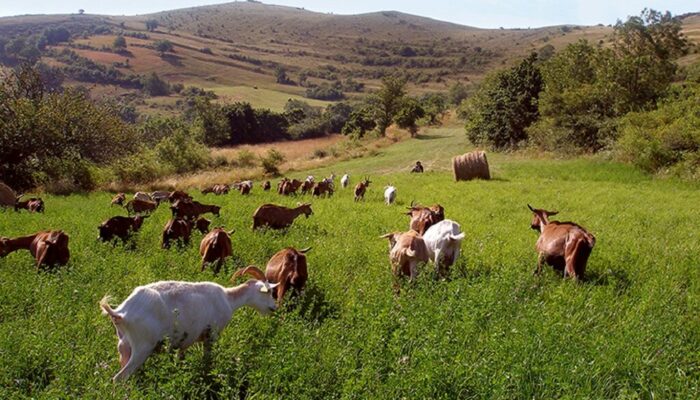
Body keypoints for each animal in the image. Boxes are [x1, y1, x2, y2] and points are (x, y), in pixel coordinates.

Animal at [99, 268, 278, 382]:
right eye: (269, 291)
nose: (274, 308)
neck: (229, 298)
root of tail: (121, 313)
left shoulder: (185, 340)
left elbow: (181, 357)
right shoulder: (211, 335)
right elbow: (207, 359)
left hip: (124, 346)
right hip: (142, 347)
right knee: (119, 378)